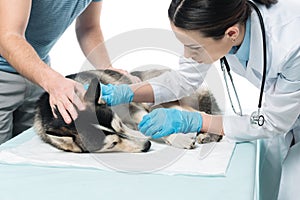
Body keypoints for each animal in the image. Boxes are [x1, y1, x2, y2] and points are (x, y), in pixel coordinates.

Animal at [34, 69, 223, 153]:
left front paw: (176, 138)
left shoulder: (134, 109)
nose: (147, 145)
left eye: (119, 125)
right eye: (112, 144)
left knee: (204, 115)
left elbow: (151, 123)